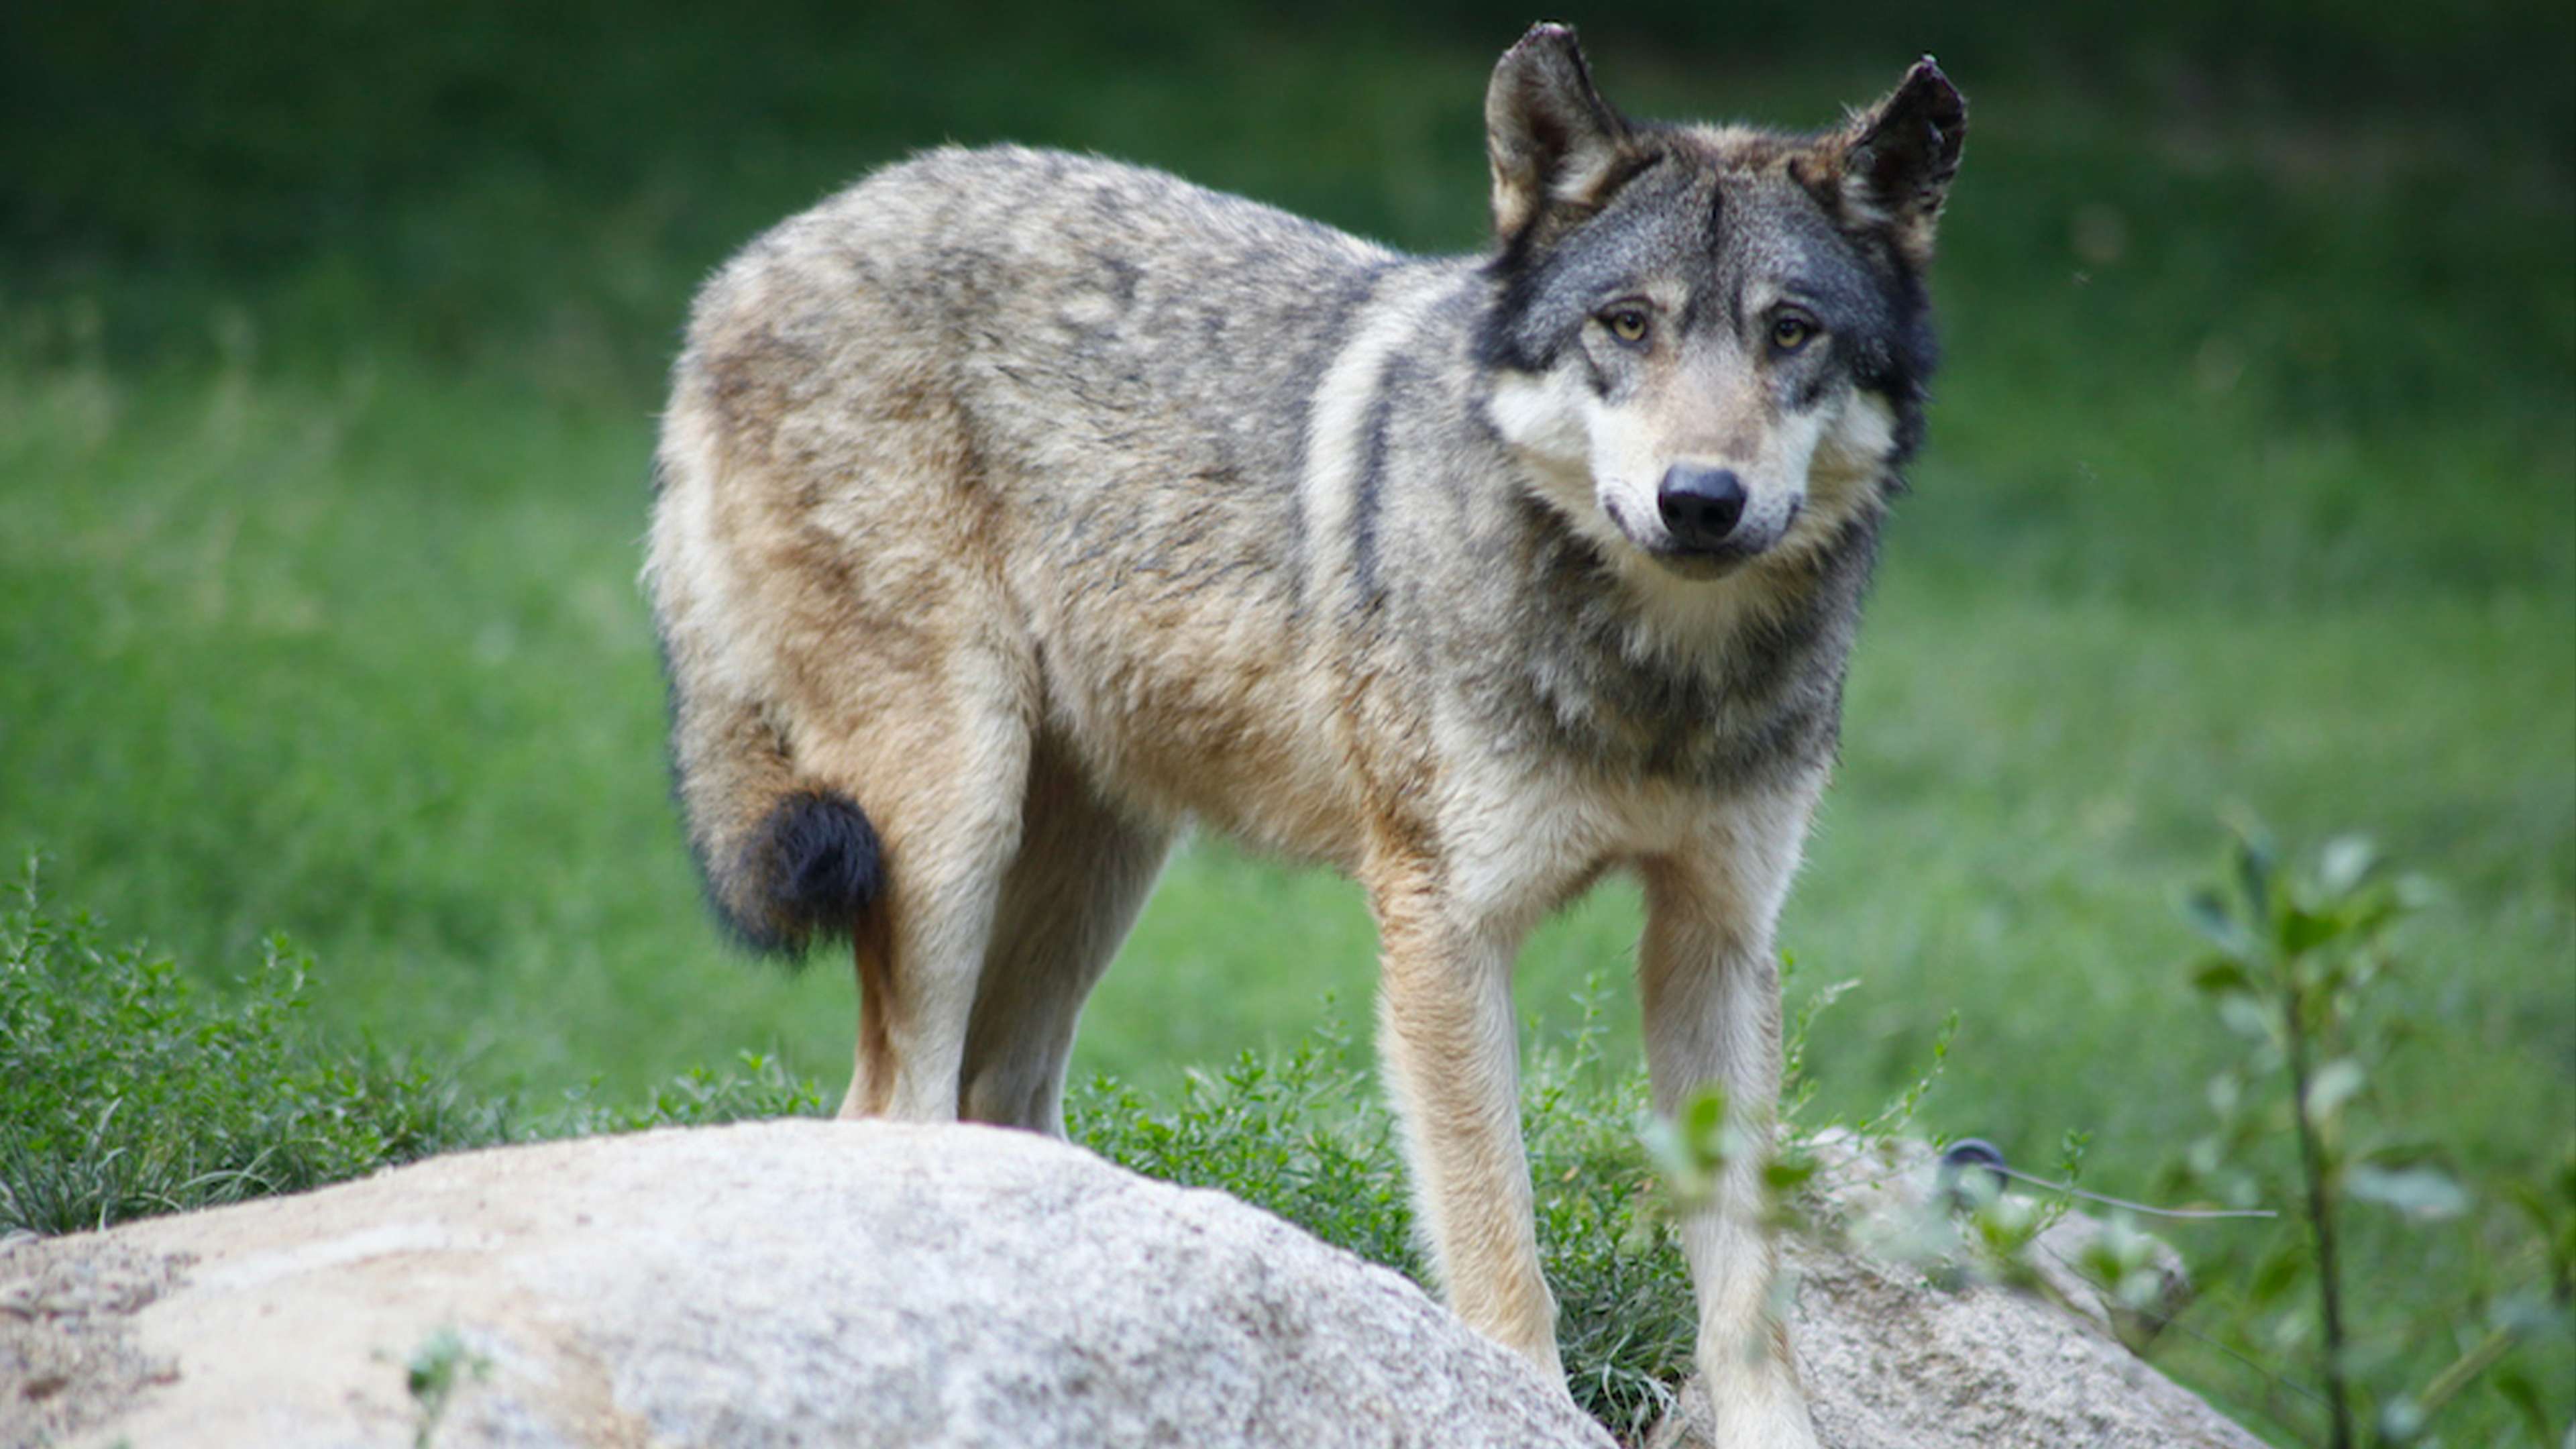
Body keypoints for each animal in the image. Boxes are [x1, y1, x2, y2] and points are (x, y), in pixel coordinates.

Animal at [646, 23, 1962, 1444]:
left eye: (1791, 333)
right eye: (1627, 325)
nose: (1702, 501)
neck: (1655, 679)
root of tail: (744, 268)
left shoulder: (1717, 942)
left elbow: (1748, 1293)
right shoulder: (1446, 931)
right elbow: (1499, 1250)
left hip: (1095, 874)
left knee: (995, 1102)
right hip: (949, 833)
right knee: (890, 1104)